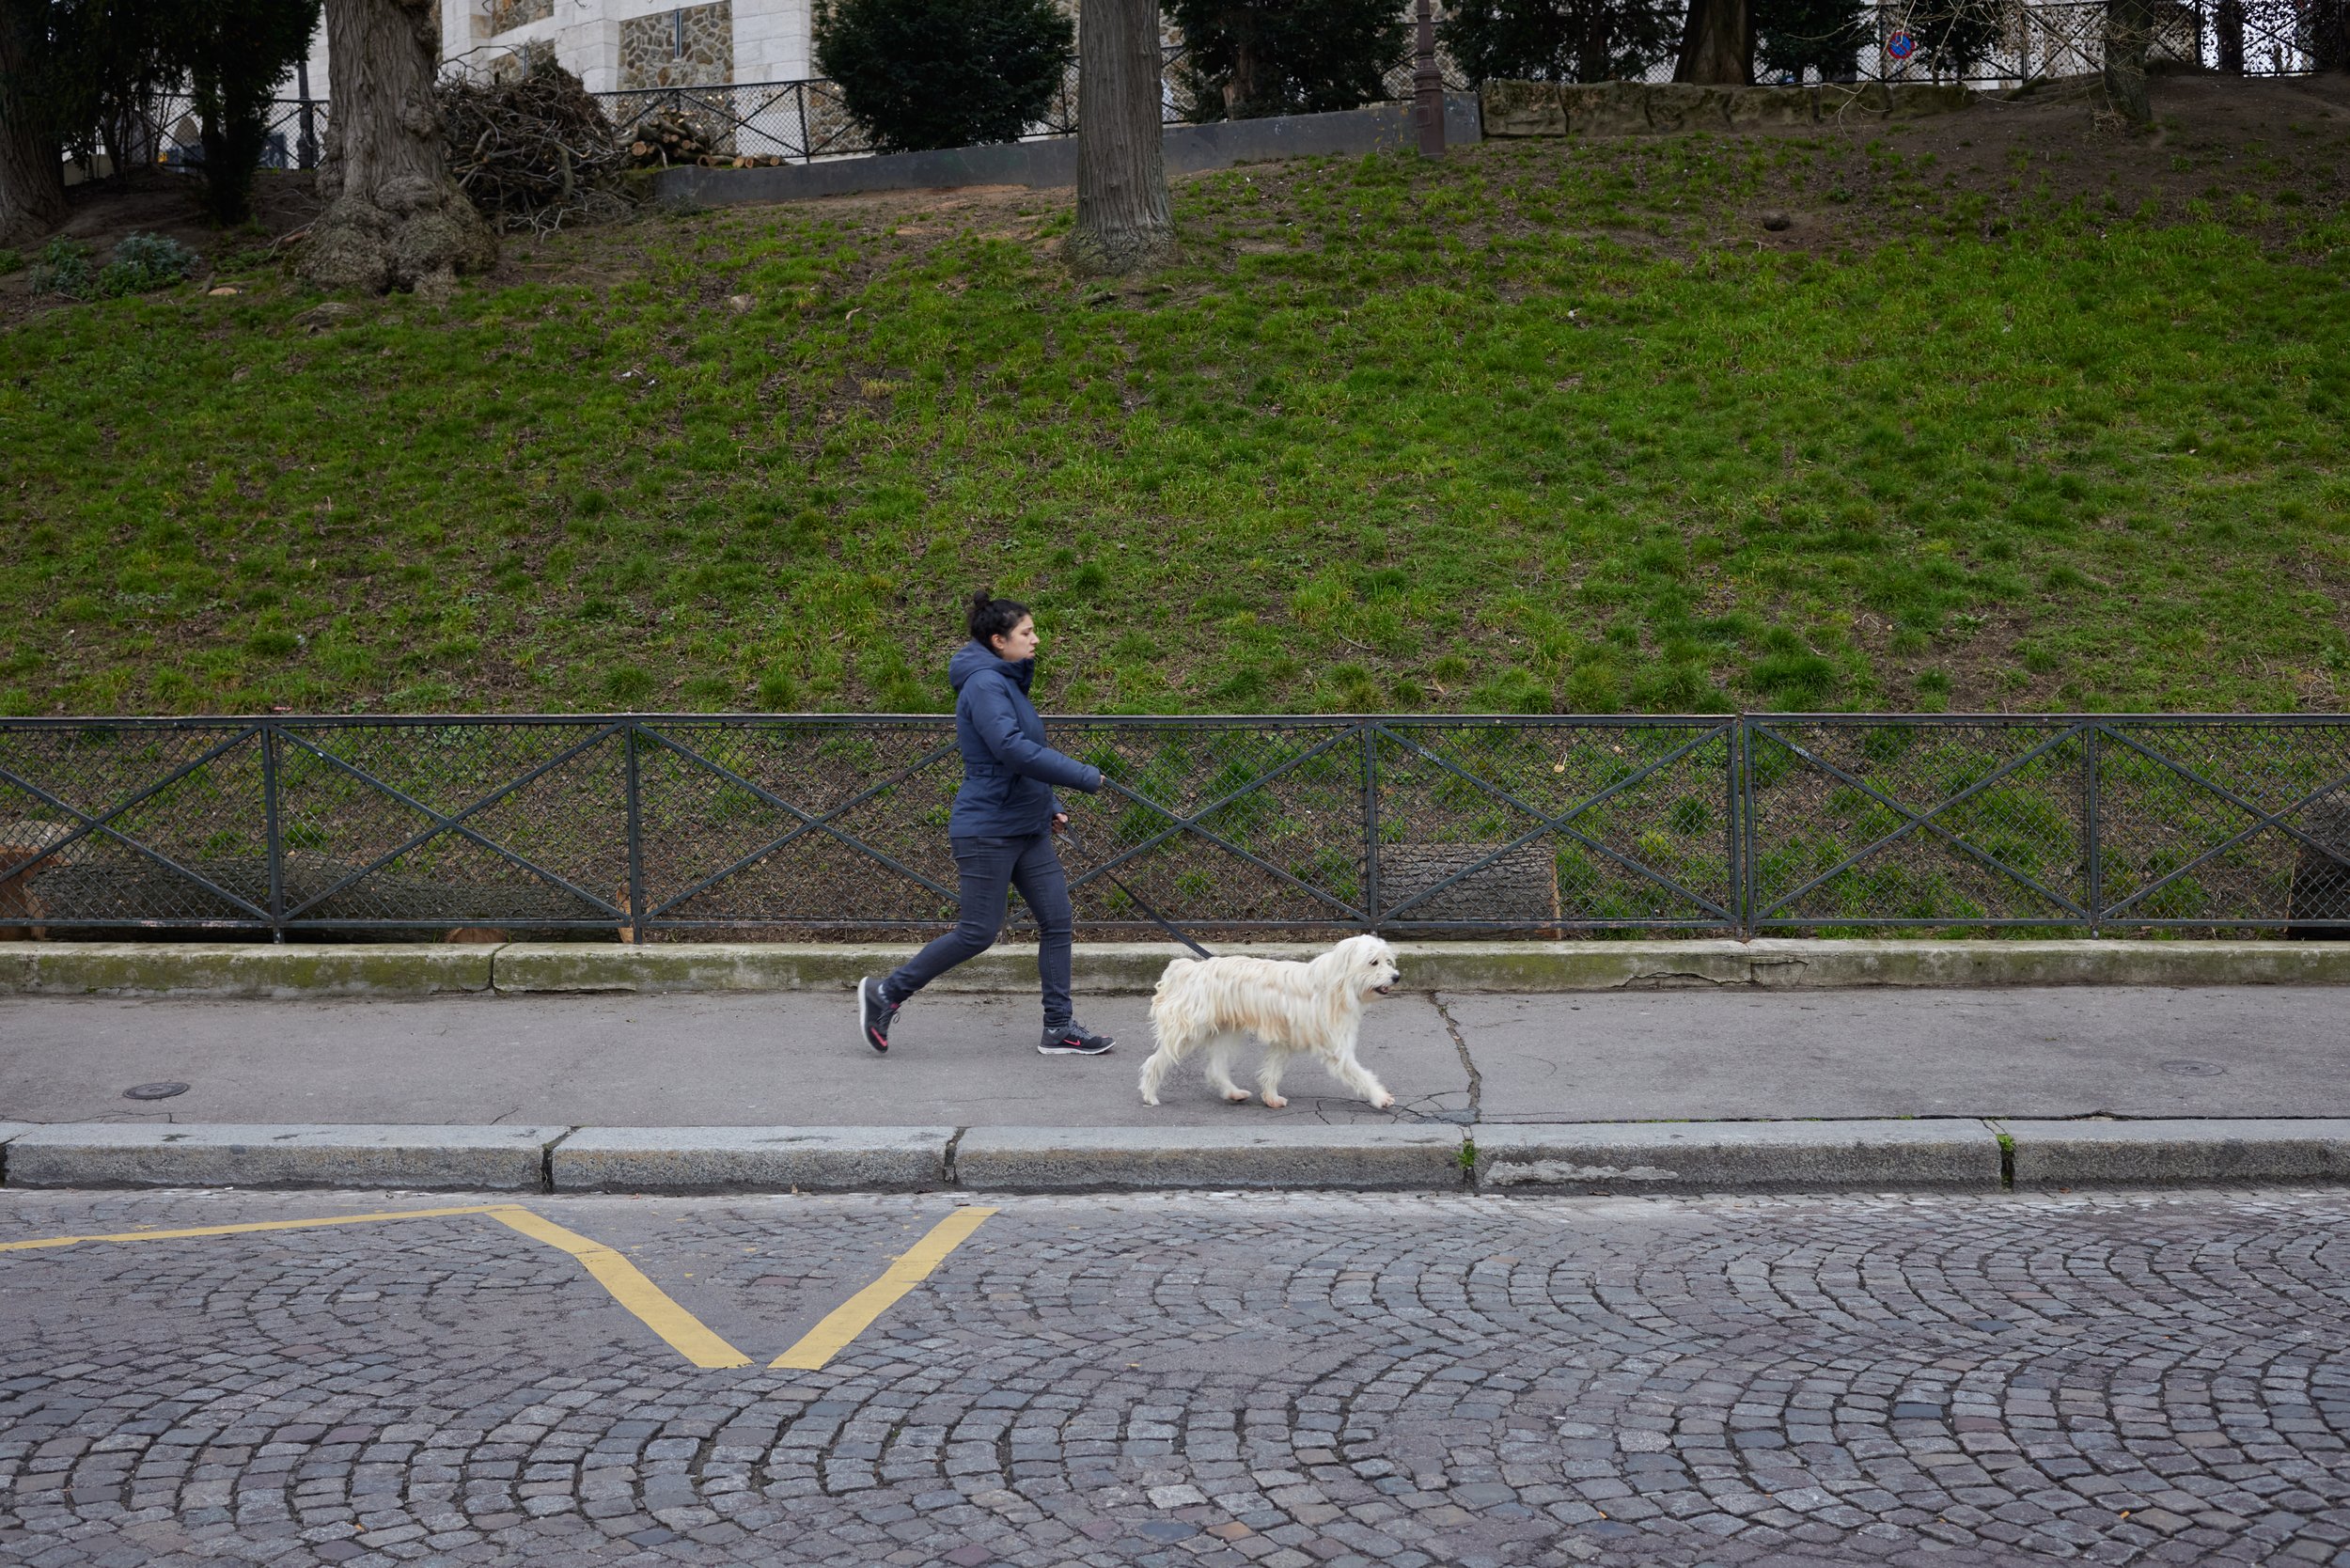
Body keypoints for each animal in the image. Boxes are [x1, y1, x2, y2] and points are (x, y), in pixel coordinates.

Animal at [1142, 940, 1401, 1109]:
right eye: (1373, 962)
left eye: (1388, 961)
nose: (1396, 977)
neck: (1333, 985)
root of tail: (1191, 968)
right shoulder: (1335, 1048)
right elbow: (1359, 1073)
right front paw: (1379, 1097)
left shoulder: (1284, 1041)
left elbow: (1272, 1071)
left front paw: (1271, 1097)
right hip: (1190, 1032)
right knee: (1155, 1061)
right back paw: (1149, 1094)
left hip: (1227, 1032)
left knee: (1215, 1069)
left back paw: (1233, 1093)